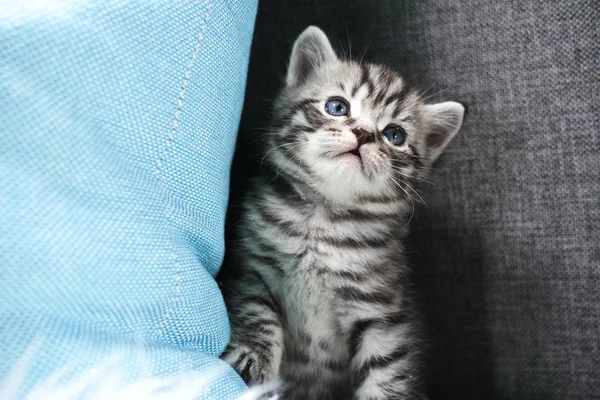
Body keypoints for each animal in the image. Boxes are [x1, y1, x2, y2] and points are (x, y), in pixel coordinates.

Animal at [220, 26, 464, 398]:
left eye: (395, 135)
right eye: (337, 106)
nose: (363, 134)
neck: (323, 216)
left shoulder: (382, 314)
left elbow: (385, 372)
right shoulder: (253, 271)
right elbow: (255, 315)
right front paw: (253, 359)